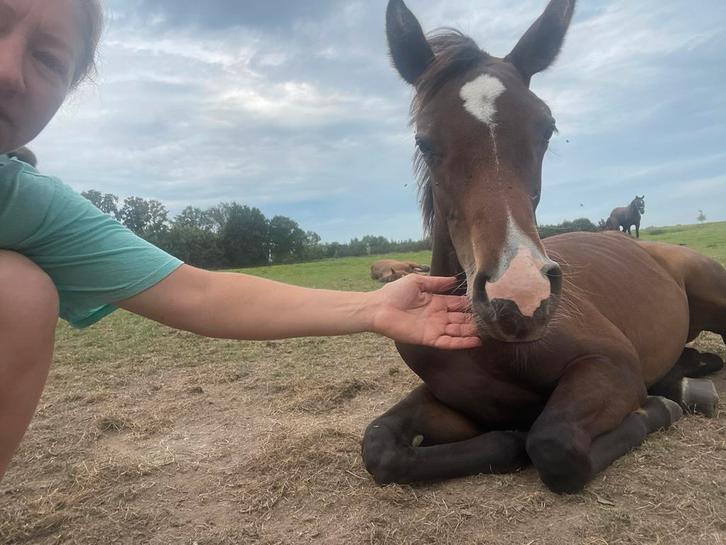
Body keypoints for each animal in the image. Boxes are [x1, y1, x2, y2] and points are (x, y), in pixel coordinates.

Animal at [361, 0, 726, 493]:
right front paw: (507, 439)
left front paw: (656, 408)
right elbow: (380, 447)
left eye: (547, 128)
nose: (519, 297)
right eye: (425, 140)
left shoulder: (611, 364)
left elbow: (554, 445)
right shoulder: (447, 401)